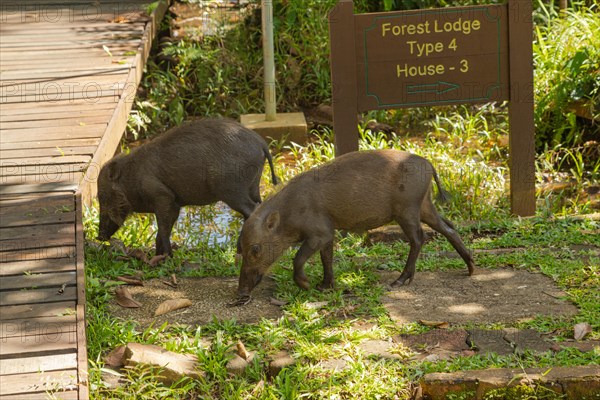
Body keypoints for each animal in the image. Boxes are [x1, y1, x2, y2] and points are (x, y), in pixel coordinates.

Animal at [96, 117, 278, 255]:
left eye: (101, 196)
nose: (99, 236)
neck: (131, 178)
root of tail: (261, 143)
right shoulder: (174, 203)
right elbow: (164, 229)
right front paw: (160, 255)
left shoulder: (162, 196)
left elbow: (163, 228)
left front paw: (165, 257)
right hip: (253, 185)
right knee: (259, 205)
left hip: (231, 190)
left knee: (252, 209)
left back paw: (240, 251)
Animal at [237, 149, 476, 300]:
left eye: (255, 249)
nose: (241, 292)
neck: (289, 213)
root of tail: (429, 165)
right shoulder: (328, 233)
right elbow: (327, 258)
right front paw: (326, 286)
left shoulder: (319, 233)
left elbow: (298, 258)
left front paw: (306, 285)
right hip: (424, 206)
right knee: (449, 228)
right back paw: (471, 268)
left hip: (407, 210)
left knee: (419, 238)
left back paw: (399, 281)